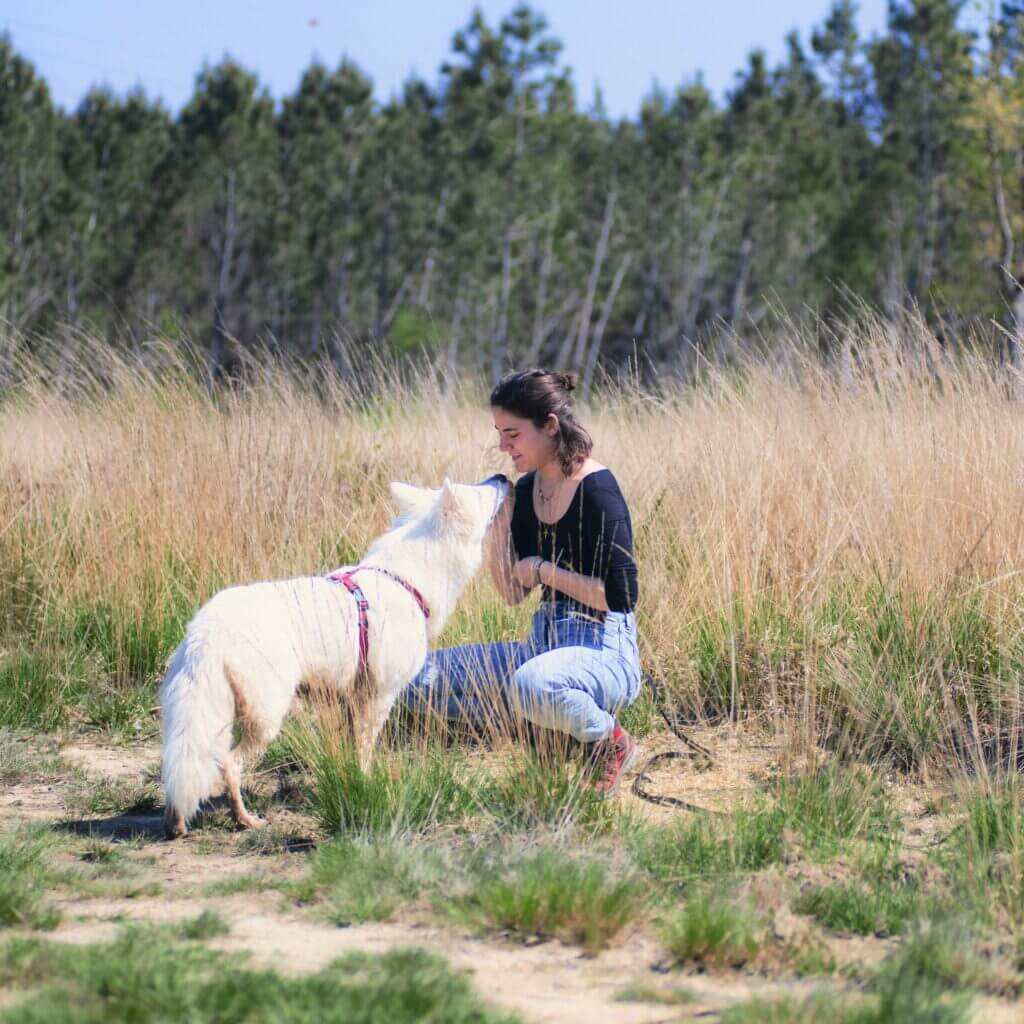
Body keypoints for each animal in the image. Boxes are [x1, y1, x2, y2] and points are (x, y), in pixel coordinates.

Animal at [159, 475, 507, 835]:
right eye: (481, 491)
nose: (503, 477)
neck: (404, 580)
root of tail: (205, 634)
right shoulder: (377, 698)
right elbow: (364, 754)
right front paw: (366, 784)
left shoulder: (349, 700)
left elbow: (350, 751)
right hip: (266, 718)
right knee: (229, 764)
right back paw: (245, 819)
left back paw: (176, 822)